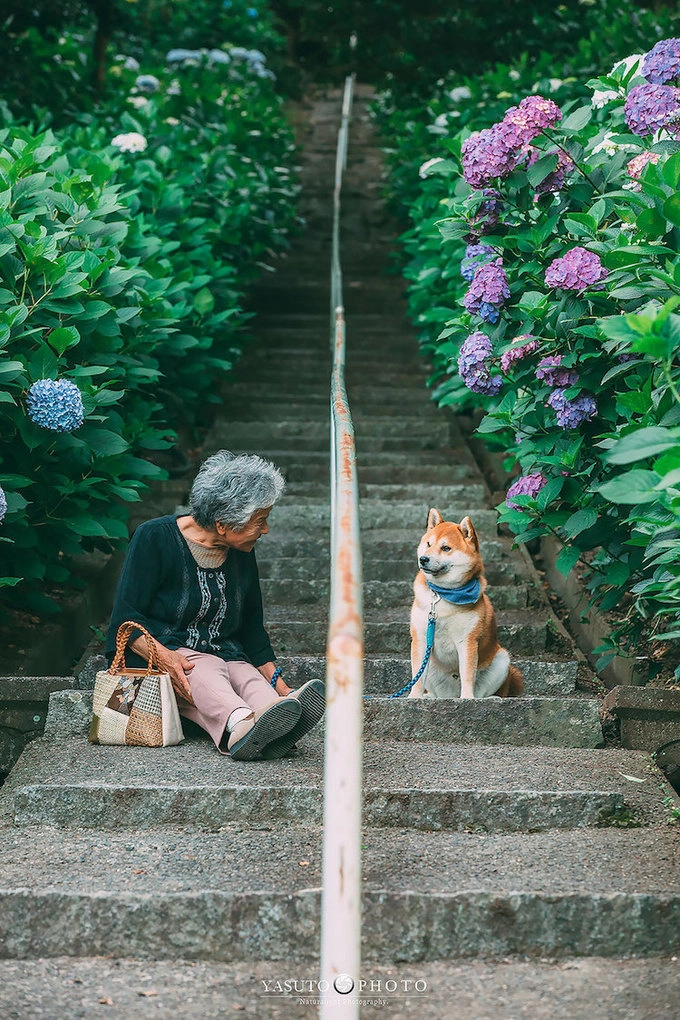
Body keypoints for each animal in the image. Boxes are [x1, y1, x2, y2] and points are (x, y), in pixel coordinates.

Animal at [409, 505, 526, 697]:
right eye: (428, 544)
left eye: (446, 548)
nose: (423, 559)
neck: (444, 595)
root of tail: (451, 695)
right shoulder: (420, 638)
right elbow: (417, 677)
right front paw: (413, 697)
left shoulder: (467, 641)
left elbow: (467, 675)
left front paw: (467, 699)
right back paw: (429, 696)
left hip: (502, 660)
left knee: (485, 691)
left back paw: (487, 698)